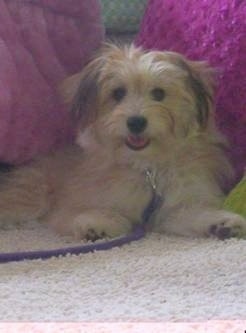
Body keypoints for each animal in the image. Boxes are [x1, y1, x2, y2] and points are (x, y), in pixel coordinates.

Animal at [0, 44, 246, 240]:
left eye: (159, 93)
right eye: (118, 93)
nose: (136, 122)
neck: (146, 169)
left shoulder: (173, 208)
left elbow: (193, 213)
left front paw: (221, 223)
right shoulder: (73, 204)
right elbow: (91, 211)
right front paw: (96, 222)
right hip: (32, 195)